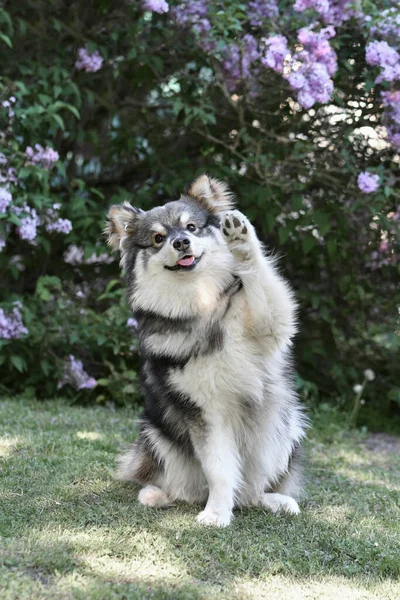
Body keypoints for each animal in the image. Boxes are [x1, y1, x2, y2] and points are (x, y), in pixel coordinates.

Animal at [105, 172, 306, 524]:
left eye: (191, 227)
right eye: (158, 238)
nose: (181, 243)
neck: (202, 302)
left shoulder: (270, 325)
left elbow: (262, 283)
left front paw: (240, 239)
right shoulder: (203, 411)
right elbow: (219, 469)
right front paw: (216, 513)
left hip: (287, 427)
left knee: (252, 492)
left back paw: (275, 501)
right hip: (153, 434)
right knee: (181, 487)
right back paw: (156, 495)